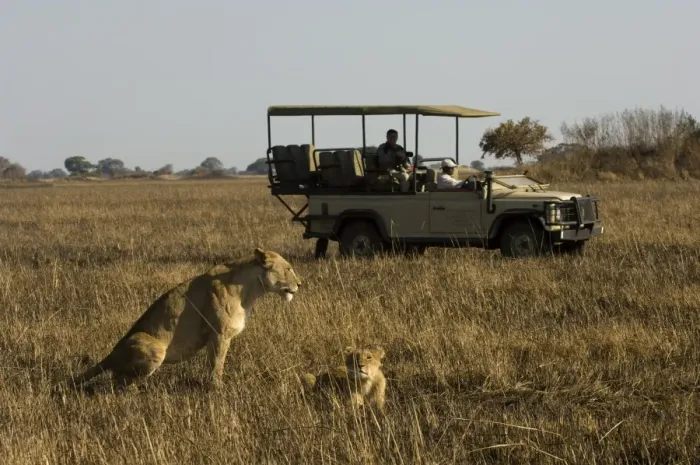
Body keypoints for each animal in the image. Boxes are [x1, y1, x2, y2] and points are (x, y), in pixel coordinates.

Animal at [61, 247, 301, 392]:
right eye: (288, 268)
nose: (300, 284)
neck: (250, 289)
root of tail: (111, 354)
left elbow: (213, 363)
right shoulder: (220, 334)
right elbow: (217, 364)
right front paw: (217, 389)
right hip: (155, 349)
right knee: (120, 384)